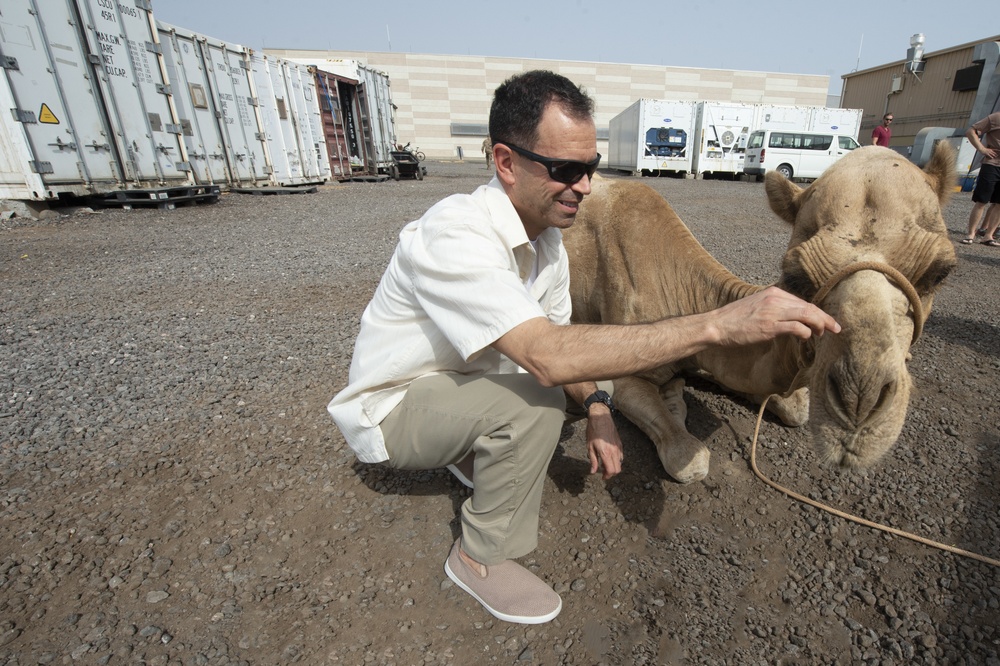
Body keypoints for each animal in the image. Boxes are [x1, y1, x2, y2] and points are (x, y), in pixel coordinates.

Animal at [568, 143, 956, 480]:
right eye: (796, 276)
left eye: (940, 273)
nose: (858, 406)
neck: (684, 288)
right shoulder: (628, 372)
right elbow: (690, 462)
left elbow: (793, 407)